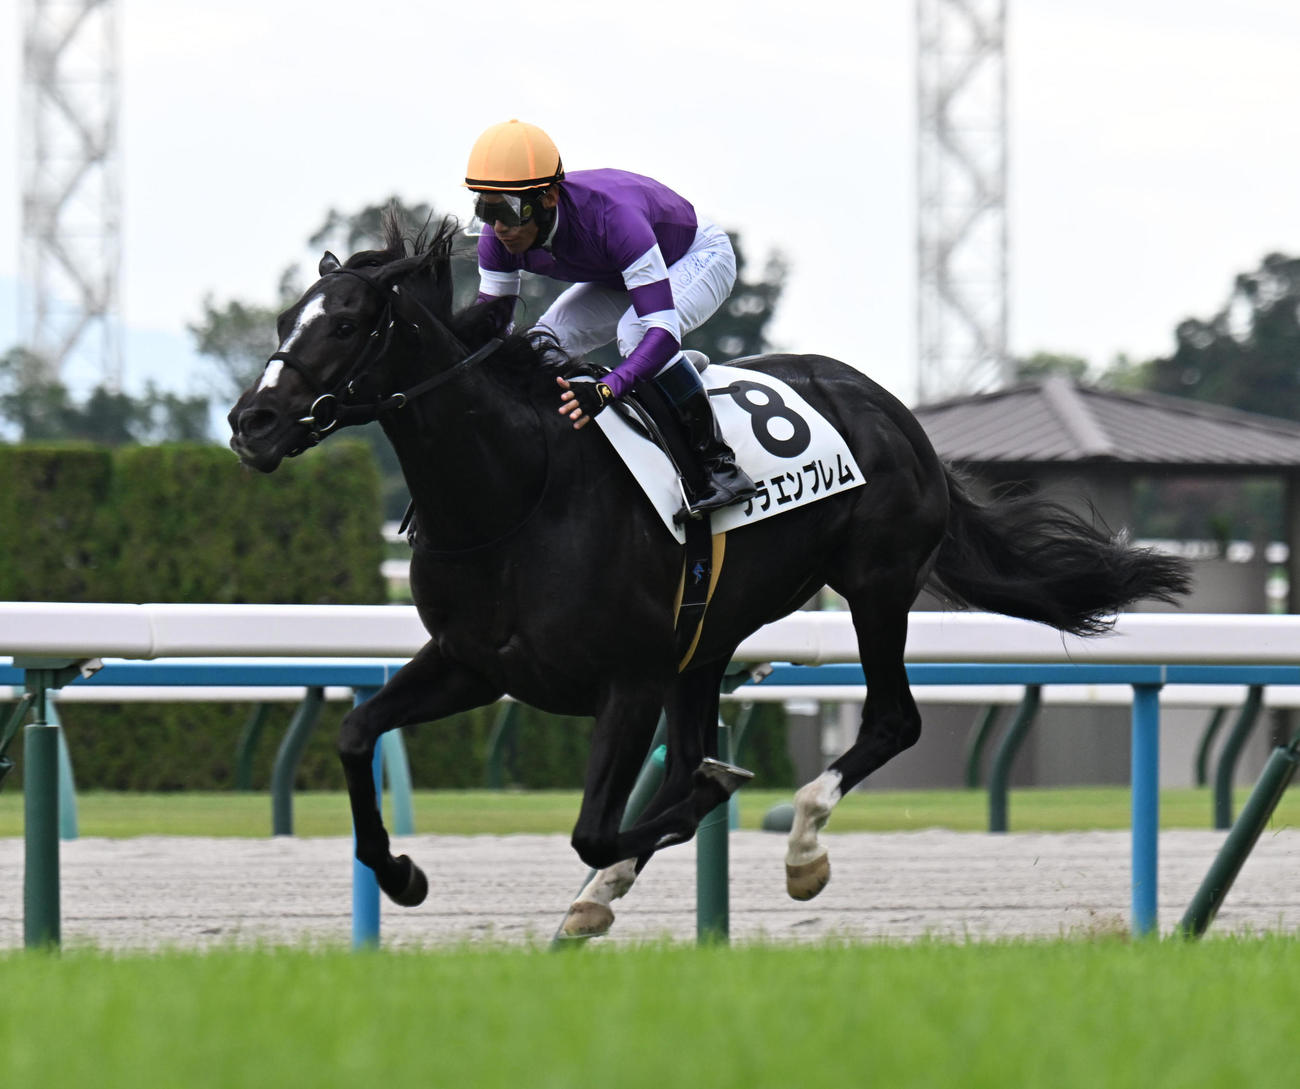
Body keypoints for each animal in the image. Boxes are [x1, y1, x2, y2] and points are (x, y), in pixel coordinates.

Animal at [228, 212, 1190, 937]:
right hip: (710, 636)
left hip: (875, 584)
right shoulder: (475, 661)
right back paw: (613, 889)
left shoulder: (629, 676)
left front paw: (703, 802)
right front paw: (400, 873)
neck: (516, 492)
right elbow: (357, 734)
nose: (252, 421)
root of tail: (894, 410)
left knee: (894, 719)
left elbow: (598, 824)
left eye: (345, 324)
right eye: (281, 323)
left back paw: (802, 847)